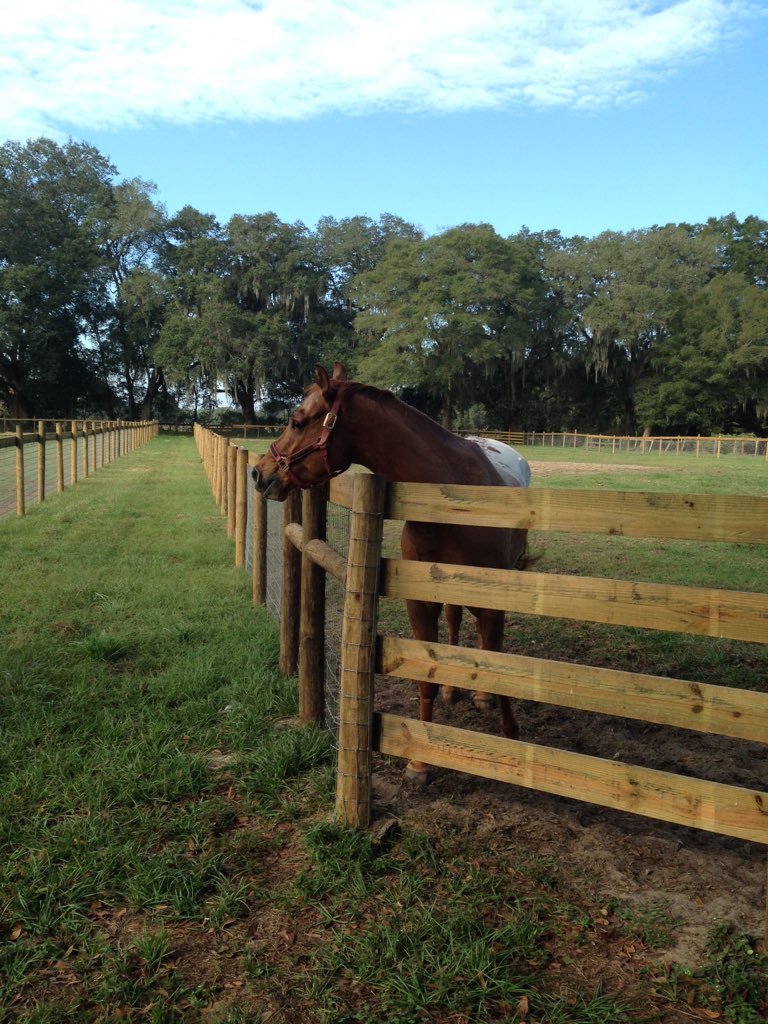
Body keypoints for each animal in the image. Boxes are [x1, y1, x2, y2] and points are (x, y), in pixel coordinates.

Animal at [252, 363, 531, 781]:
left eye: (297, 422)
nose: (259, 473)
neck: (451, 501)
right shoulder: (420, 603)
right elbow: (426, 676)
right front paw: (419, 763)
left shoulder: (492, 598)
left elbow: (499, 669)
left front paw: (511, 737)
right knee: (454, 624)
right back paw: (453, 691)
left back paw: (480, 696)